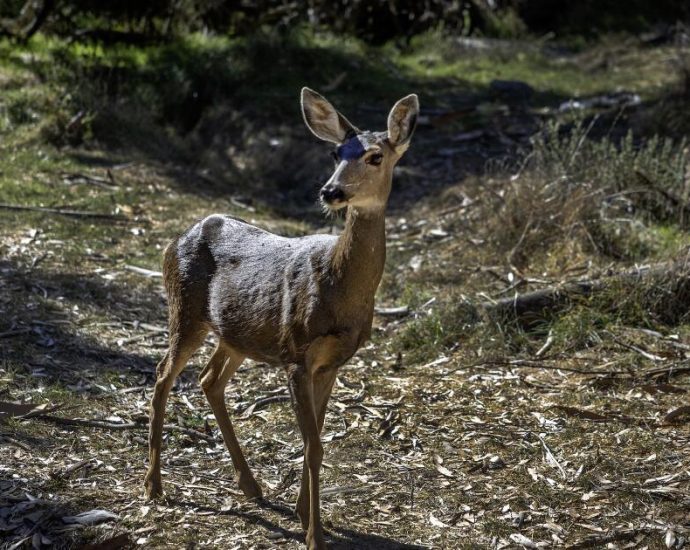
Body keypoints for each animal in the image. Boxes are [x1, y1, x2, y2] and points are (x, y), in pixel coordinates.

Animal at [143, 87, 419, 549]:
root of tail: (180, 236)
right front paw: (315, 535)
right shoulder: (297, 353)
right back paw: (153, 485)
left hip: (236, 333)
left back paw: (251, 486)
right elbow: (313, 444)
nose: (331, 191)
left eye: (375, 156)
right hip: (184, 309)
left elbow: (316, 438)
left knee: (209, 379)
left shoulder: (333, 362)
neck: (341, 292)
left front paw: (303, 513)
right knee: (164, 373)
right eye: (335, 152)